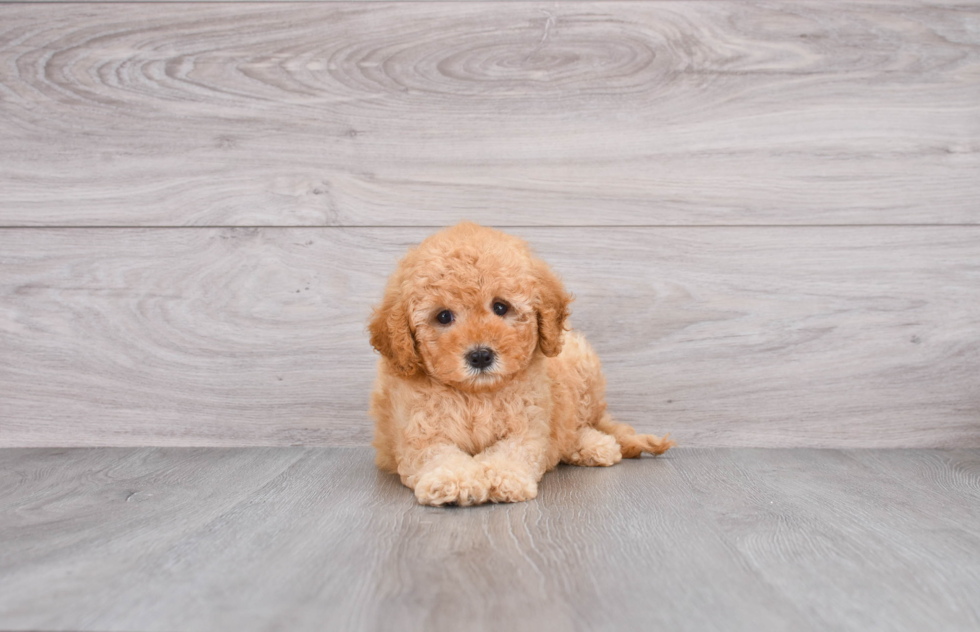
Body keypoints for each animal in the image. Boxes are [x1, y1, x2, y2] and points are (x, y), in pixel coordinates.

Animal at [368, 222, 672, 504]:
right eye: (443, 316)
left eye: (501, 307)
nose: (480, 356)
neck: (476, 395)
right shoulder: (418, 433)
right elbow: (437, 453)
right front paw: (455, 480)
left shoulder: (528, 424)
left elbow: (514, 450)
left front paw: (502, 476)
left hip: (582, 365)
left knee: (581, 423)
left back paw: (594, 444)